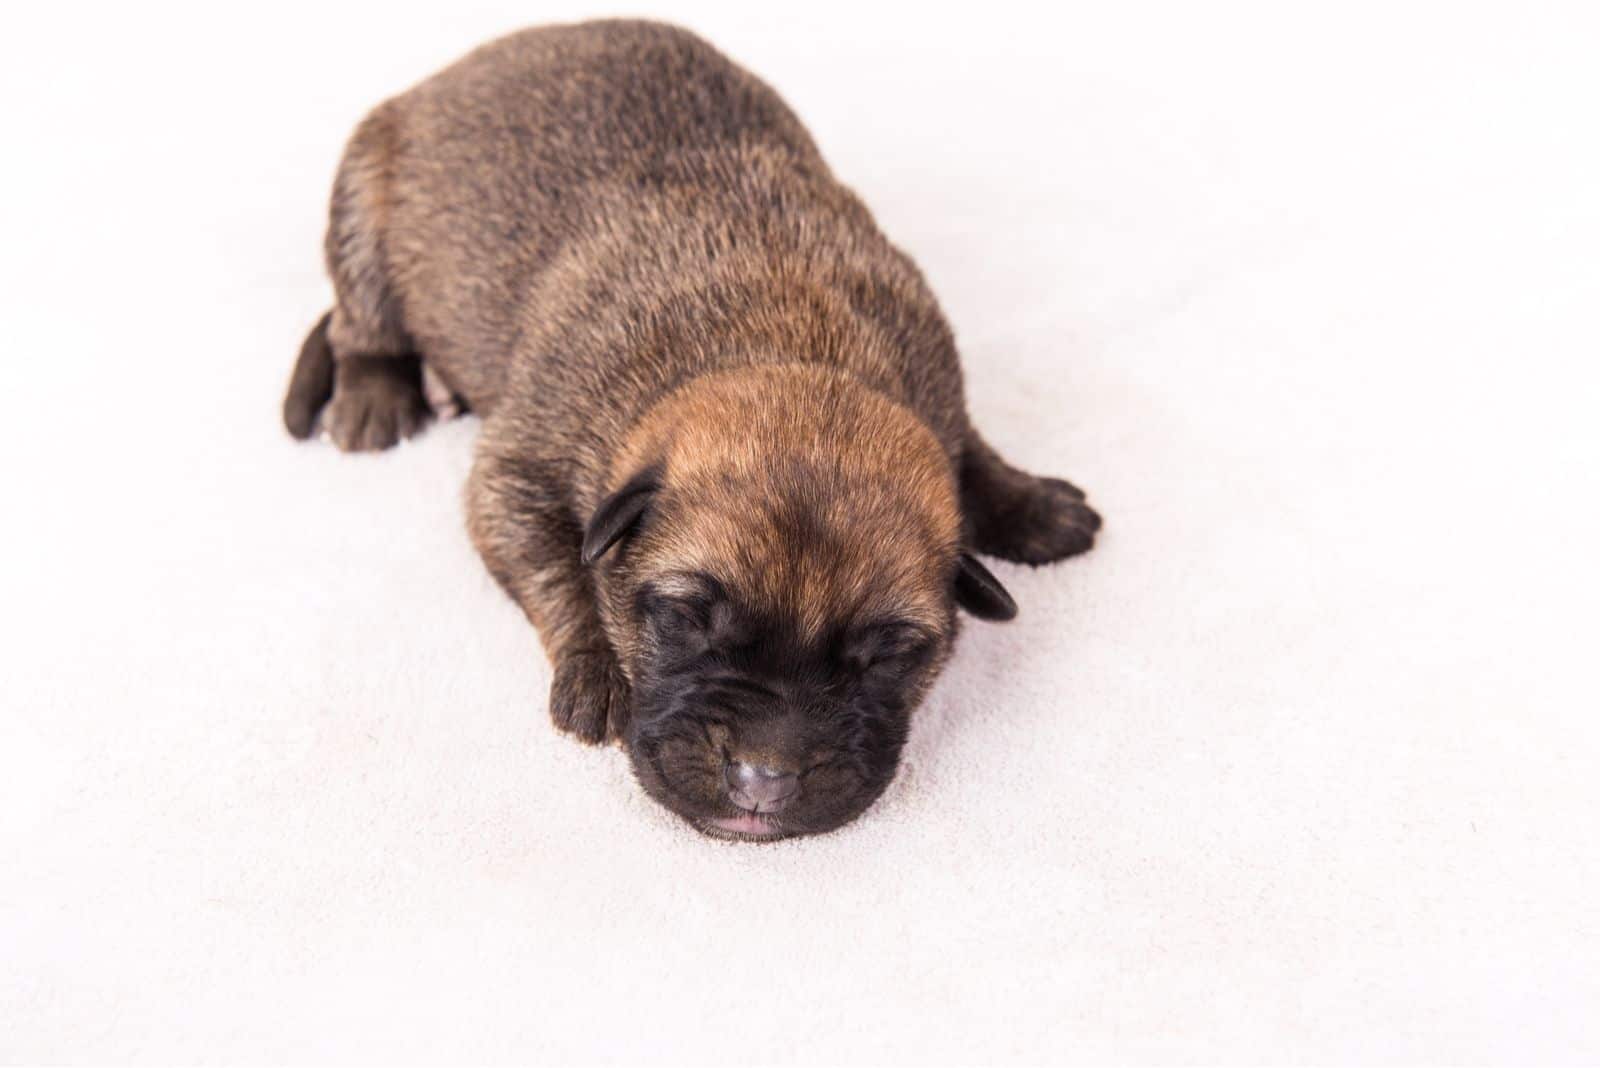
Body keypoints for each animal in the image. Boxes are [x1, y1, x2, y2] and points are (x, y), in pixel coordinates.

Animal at [284, 14, 1100, 831]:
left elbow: (969, 451)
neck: (789, 346)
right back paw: (376, 398)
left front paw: (1033, 507)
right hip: (361, 198)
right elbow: (558, 568)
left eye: (887, 655)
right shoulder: (516, 468)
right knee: (362, 323)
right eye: (686, 617)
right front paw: (598, 669)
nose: (763, 782)